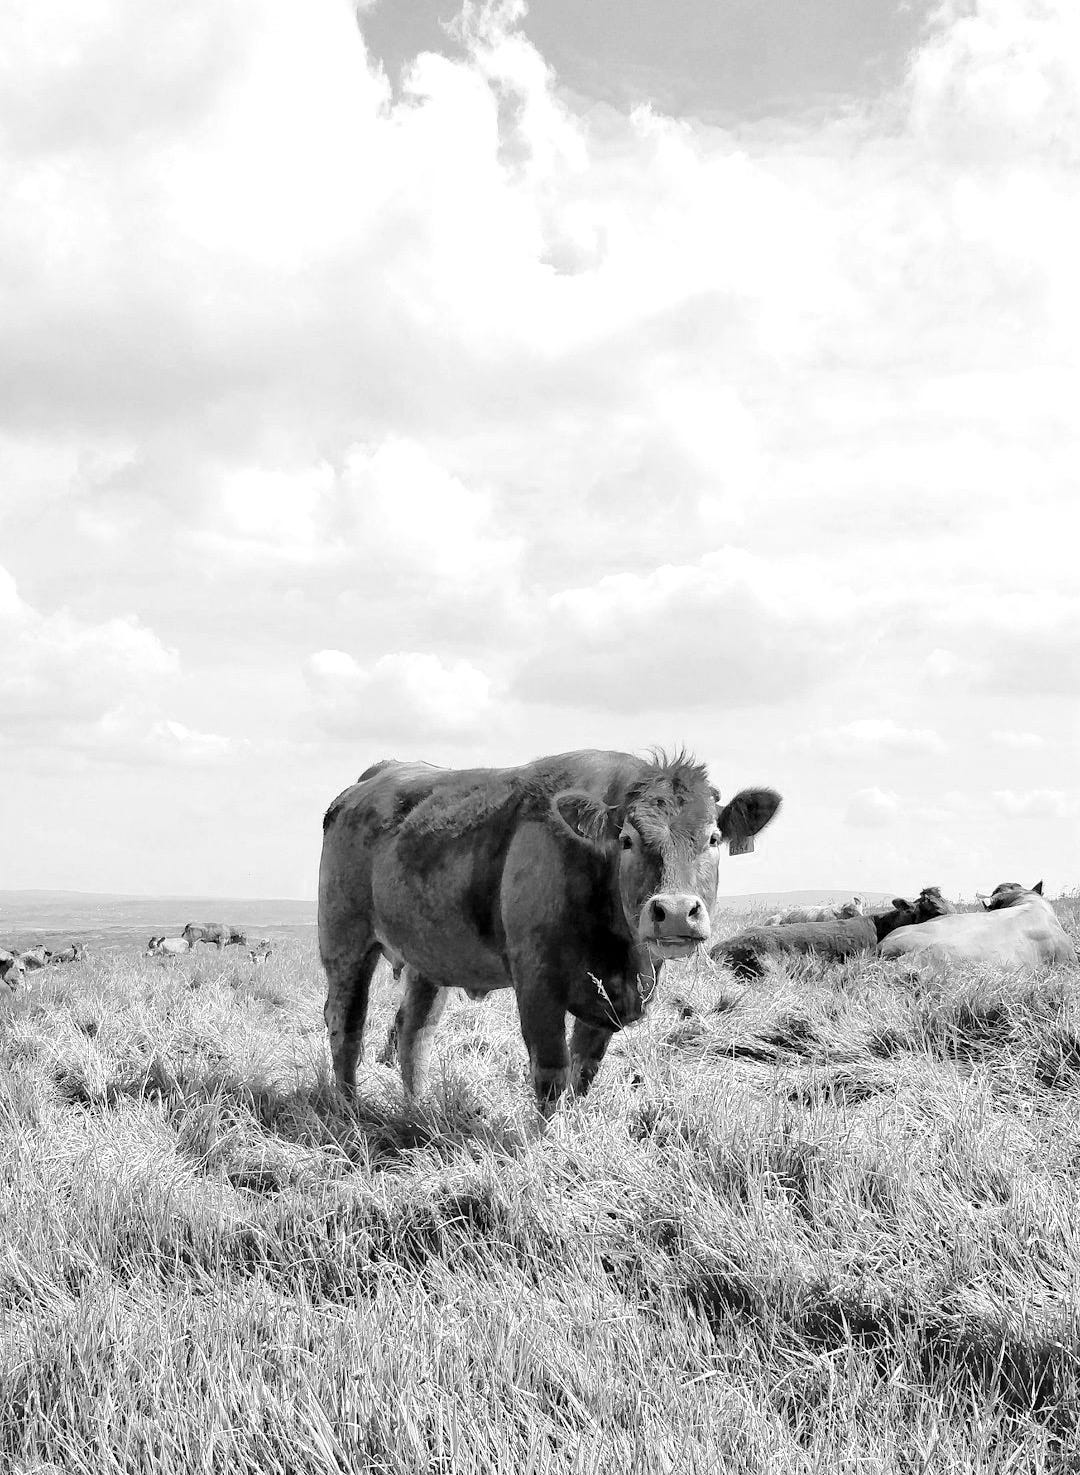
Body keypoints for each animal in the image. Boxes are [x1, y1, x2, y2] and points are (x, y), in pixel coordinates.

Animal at [319, 750, 781, 1111]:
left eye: (714, 838)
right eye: (627, 840)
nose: (677, 911)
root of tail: (371, 781)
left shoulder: (606, 1001)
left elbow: (583, 1074)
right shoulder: (537, 983)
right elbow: (551, 1074)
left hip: (429, 959)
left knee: (414, 1032)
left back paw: (417, 1110)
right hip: (345, 944)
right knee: (347, 1026)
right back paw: (349, 1111)